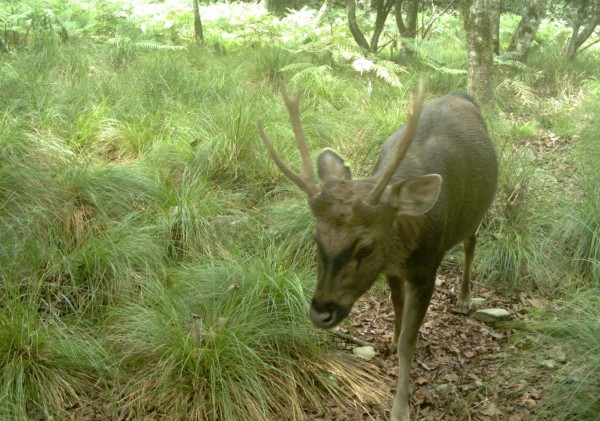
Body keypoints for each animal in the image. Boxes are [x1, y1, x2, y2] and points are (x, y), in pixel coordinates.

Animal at [258, 79, 496, 420]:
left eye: (367, 246)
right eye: (317, 237)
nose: (320, 313)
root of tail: (461, 94)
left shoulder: (427, 268)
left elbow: (409, 342)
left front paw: (400, 407)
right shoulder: (391, 268)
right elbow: (396, 304)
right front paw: (392, 339)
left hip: (476, 214)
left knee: (470, 243)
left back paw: (464, 300)